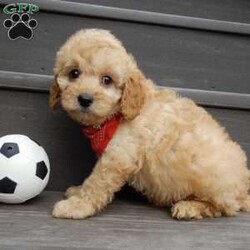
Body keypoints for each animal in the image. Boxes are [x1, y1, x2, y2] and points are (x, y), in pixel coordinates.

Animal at [49, 29, 250, 220]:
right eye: (74, 73)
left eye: (107, 80)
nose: (84, 98)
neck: (115, 117)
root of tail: (243, 189)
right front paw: (78, 192)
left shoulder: (118, 156)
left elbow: (97, 182)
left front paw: (77, 206)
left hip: (214, 178)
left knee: (224, 207)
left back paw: (190, 207)